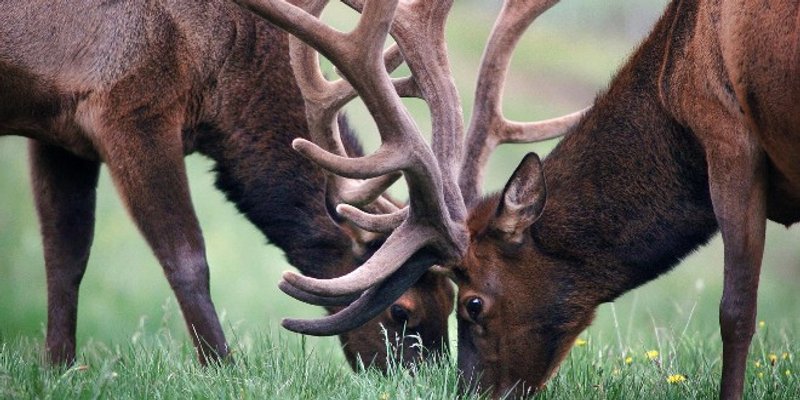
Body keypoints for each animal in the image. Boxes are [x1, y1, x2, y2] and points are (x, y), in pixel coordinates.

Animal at [0, 0, 455, 371]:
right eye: (401, 311)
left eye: (451, 301)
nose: (428, 379)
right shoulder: (129, 109)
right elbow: (186, 258)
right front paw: (223, 367)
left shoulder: (59, 131)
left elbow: (65, 256)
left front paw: (58, 368)